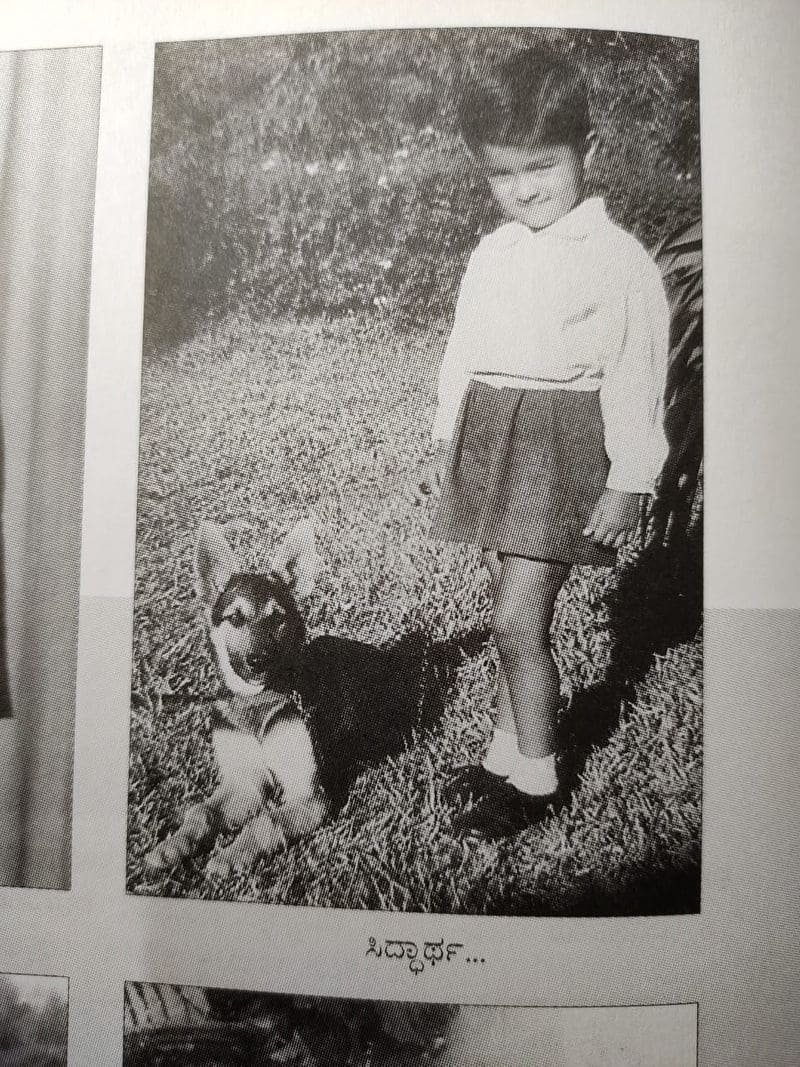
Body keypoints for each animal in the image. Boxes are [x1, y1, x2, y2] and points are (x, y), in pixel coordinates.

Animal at [145, 516, 445, 874]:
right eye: (235, 618)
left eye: (277, 617)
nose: (257, 660)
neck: (258, 704)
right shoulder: (243, 782)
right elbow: (203, 813)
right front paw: (172, 846)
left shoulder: (310, 795)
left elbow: (266, 823)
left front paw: (230, 856)